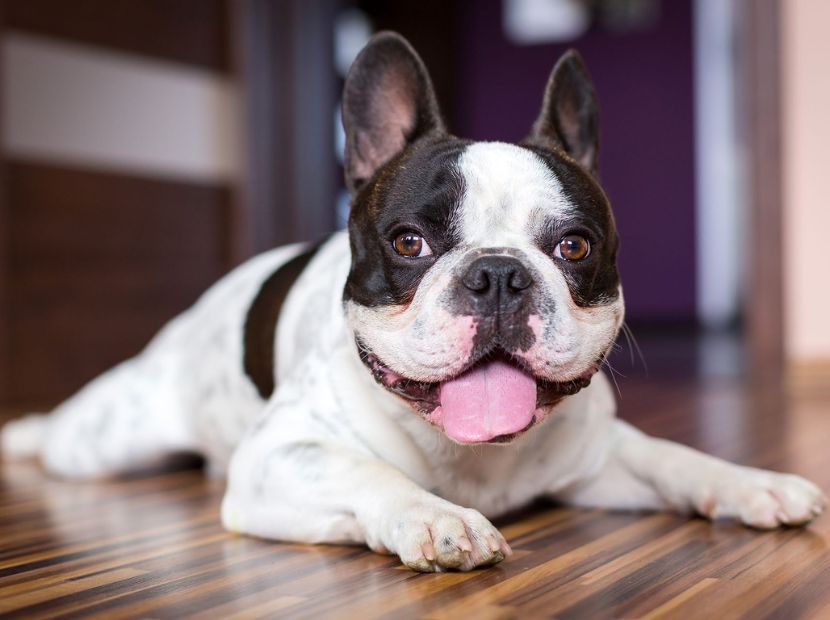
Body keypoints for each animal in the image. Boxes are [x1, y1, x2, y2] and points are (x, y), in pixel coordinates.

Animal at [3, 30, 828, 572]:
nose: (498, 274)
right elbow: (369, 474)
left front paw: (751, 483)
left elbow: (674, 459)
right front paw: (436, 519)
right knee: (66, 436)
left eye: (574, 247)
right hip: (110, 440)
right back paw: (25, 435)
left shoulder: (602, 460)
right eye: (408, 243)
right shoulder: (279, 457)